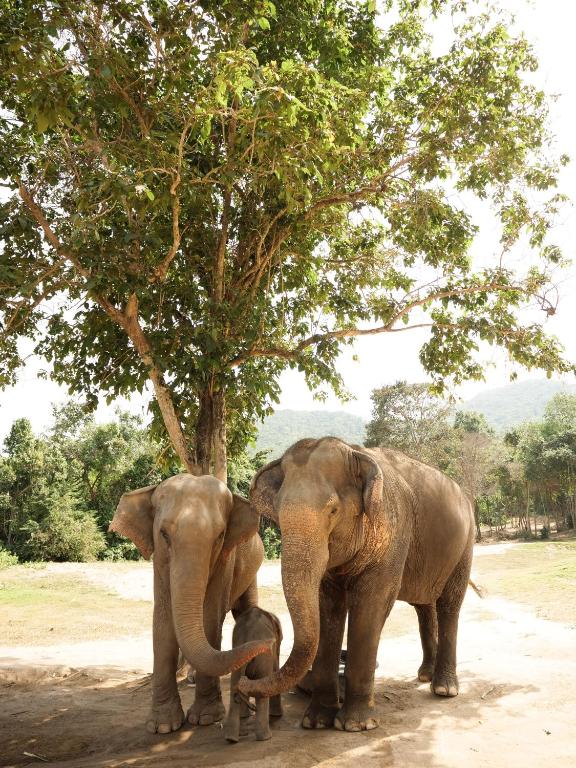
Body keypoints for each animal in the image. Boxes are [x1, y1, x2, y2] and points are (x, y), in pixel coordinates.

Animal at [109, 474, 272, 732]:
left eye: (219, 536)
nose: (268, 644)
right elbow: (163, 621)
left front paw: (205, 718)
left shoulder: (225, 560)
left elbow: (209, 617)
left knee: (244, 608)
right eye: (164, 534)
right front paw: (163, 726)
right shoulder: (159, 562)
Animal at [223, 608, 282, 740]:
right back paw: (265, 737)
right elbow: (275, 669)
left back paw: (232, 738)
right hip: (262, 661)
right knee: (262, 691)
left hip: (235, 659)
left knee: (234, 686)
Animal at [241, 438, 474, 732]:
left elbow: (371, 605)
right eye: (279, 515)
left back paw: (444, 689)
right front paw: (316, 721)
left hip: (465, 545)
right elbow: (327, 608)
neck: (355, 452)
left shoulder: (393, 532)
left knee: (449, 604)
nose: (243, 683)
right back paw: (425, 675)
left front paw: (355, 725)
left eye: (332, 511)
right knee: (424, 605)